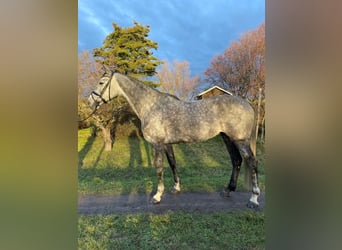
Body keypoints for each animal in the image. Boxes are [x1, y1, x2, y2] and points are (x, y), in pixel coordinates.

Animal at [87, 67, 260, 208]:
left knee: (251, 162)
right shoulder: (166, 144)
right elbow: (172, 163)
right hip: (227, 138)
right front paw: (176, 188)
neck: (151, 105)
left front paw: (157, 196)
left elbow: (159, 167)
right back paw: (228, 190)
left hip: (240, 140)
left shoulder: (156, 144)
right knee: (236, 161)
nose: (90, 102)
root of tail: (247, 104)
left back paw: (254, 198)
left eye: (101, 82)